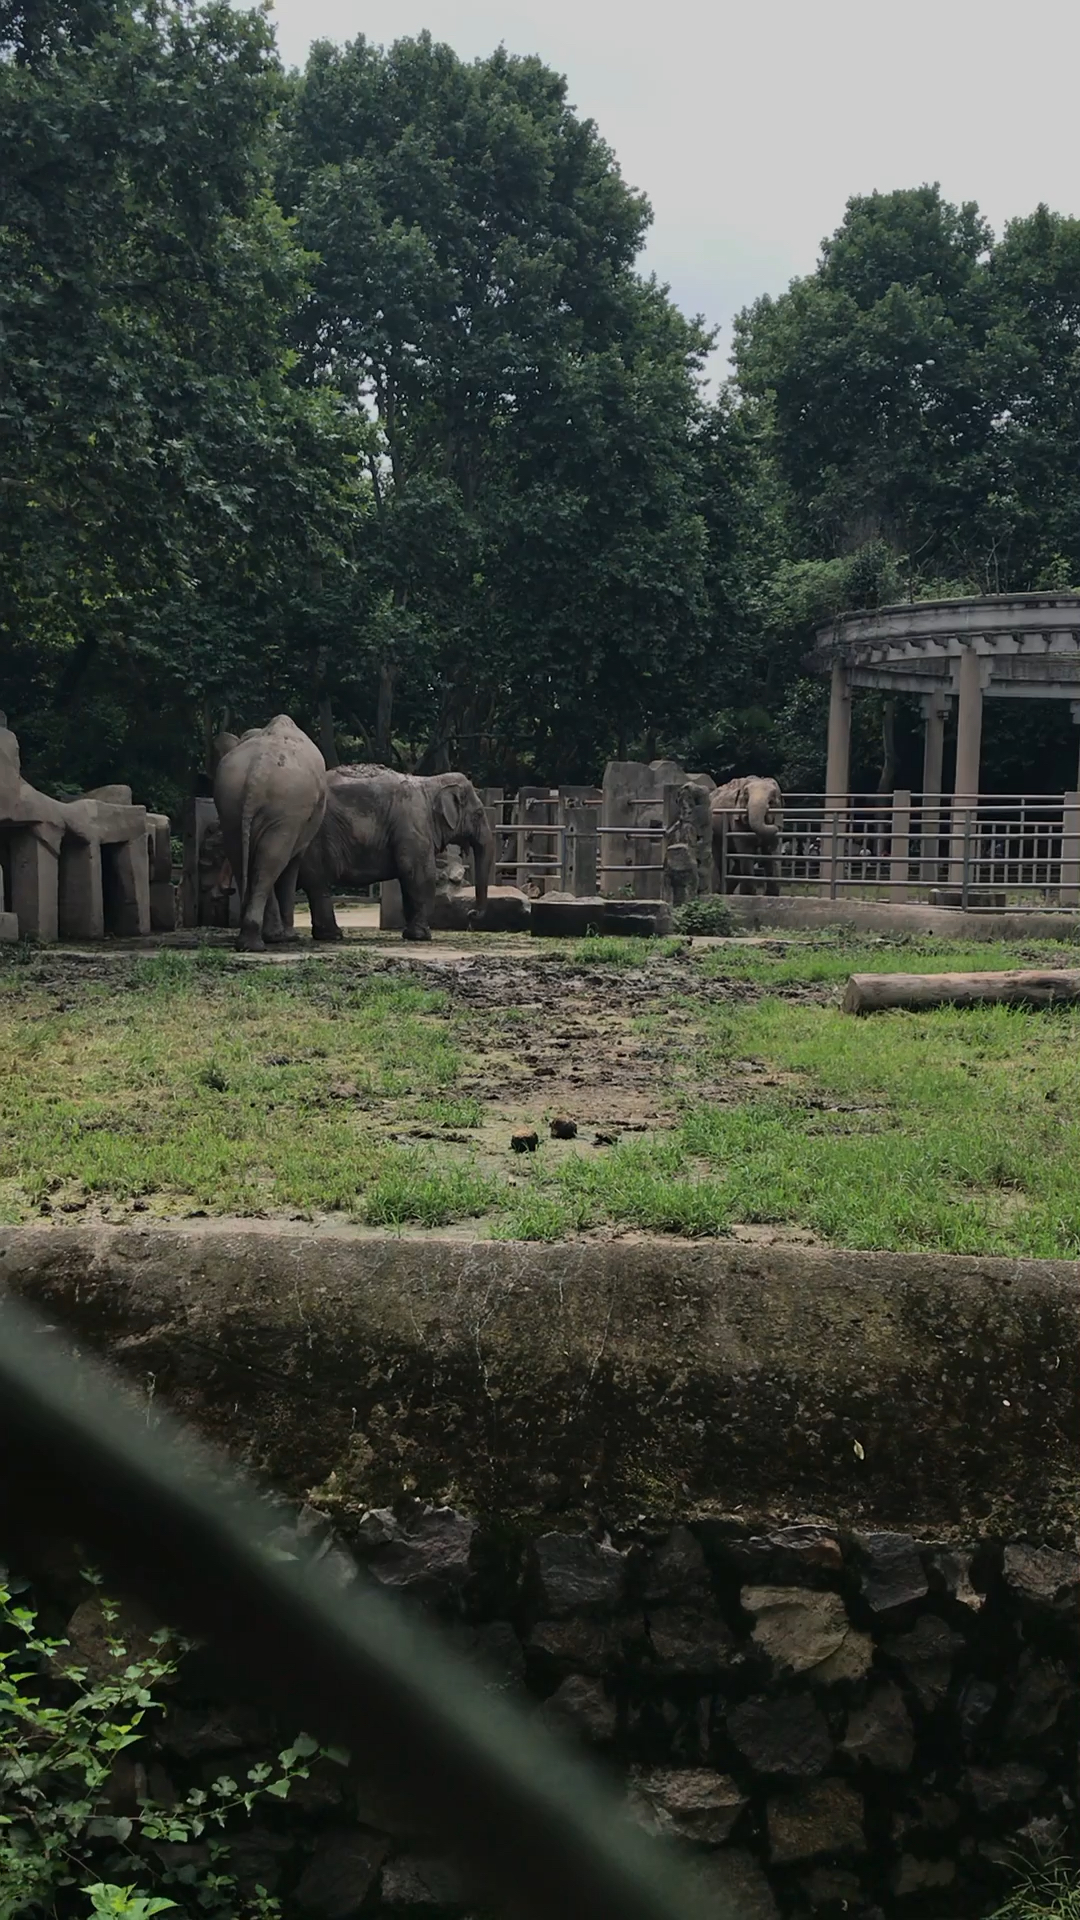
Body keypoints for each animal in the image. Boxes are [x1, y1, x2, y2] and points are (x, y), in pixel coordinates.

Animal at [212, 716, 327, 951]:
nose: (222, 891)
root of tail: (257, 773)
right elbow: (292, 863)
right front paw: (289, 936)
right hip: (287, 806)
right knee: (272, 861)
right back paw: (261, 942)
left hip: (231, 802)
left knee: (247, 858)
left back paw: (251, 940)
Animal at [297, 765, 495, 942]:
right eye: (479, 813)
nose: (471, 914)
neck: (431, 783)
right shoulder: (414, 825)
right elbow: (420, 874)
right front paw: (421, 936)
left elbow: (409, 880)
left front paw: (410, 934)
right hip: (314, 839)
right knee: (317, 883)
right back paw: (333, 936)